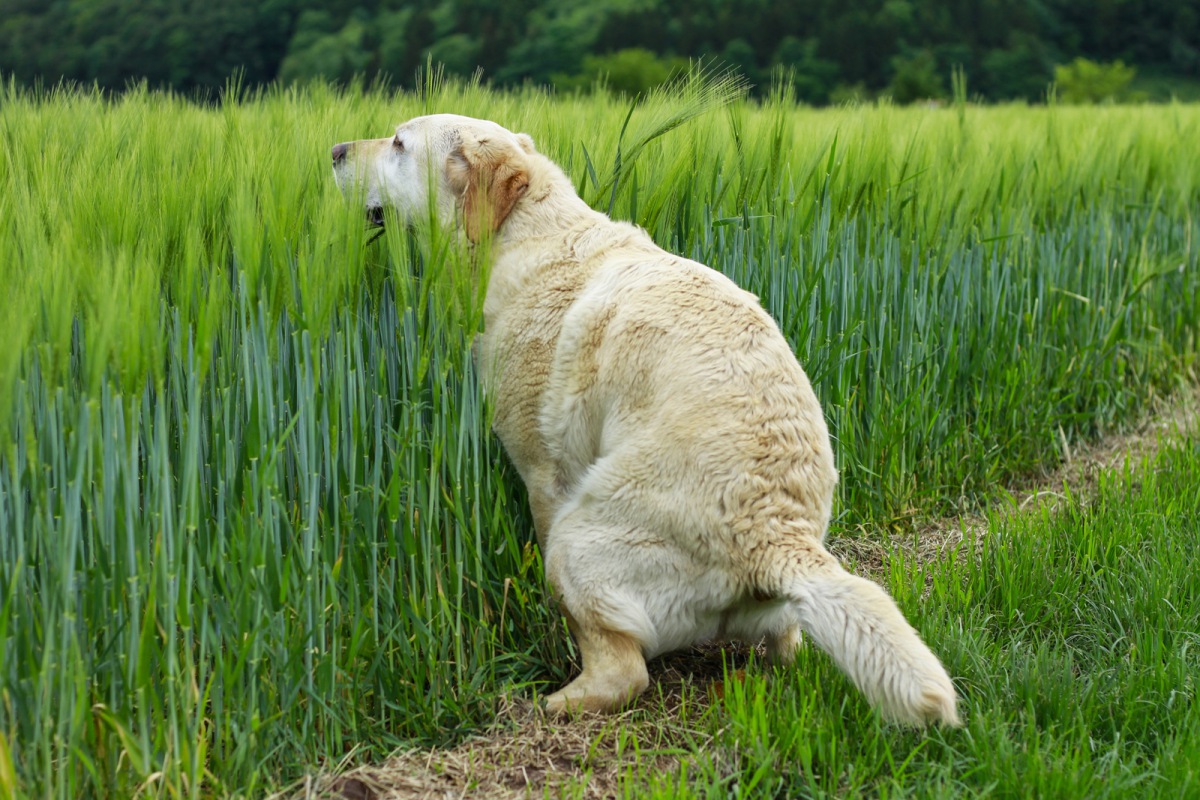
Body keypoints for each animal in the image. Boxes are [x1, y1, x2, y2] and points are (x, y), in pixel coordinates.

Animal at [333, 113, 960, 724]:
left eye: (398, 143)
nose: (335, 150)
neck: (525, 231)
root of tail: (778, 536)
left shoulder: (545, 474)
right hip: (776, 607)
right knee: (788, 646)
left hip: (574, 542)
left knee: (624, 672)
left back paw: (553, 703)